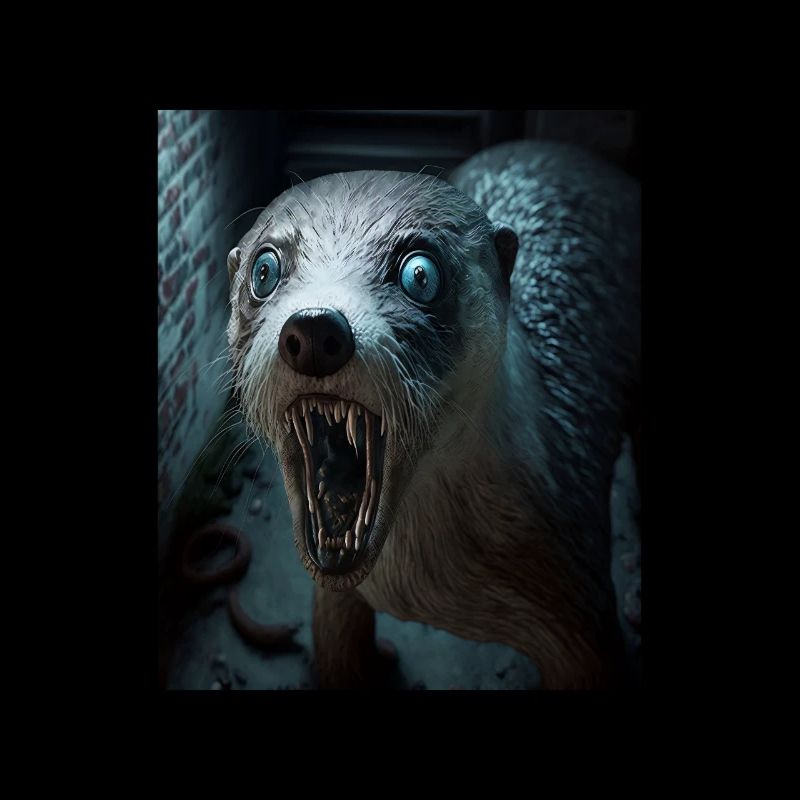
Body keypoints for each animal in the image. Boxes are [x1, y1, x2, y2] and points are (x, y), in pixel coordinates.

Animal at [225, 141, 641, 689]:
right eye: (264, 271)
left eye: (419, 274)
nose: (314, 330)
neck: (424, 585)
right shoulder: (336, 597)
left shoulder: (579, 611)